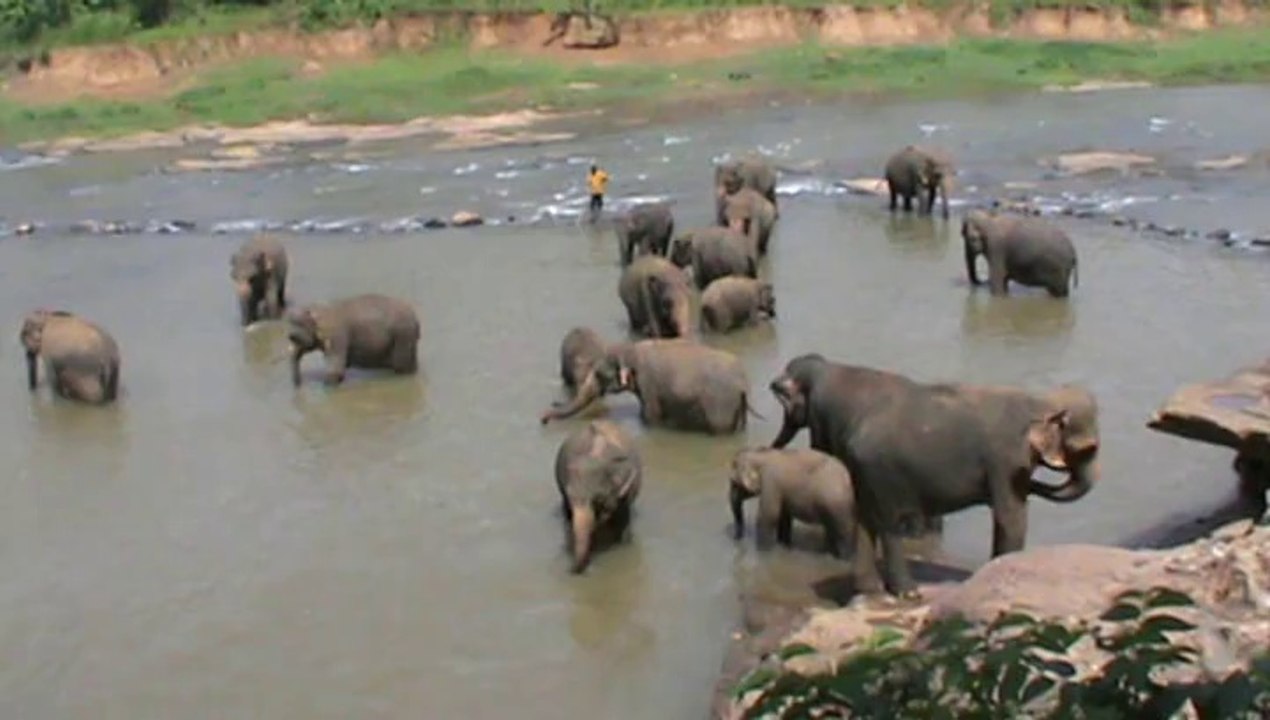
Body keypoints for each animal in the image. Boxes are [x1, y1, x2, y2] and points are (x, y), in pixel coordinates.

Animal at [287, 293, 421, 387]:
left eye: (300, 324)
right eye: (290, 322)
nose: (299, 385)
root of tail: (416, 319)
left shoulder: (337, 336)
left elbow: (336, 369)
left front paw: (327, 384)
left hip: (402, 335)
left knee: (400, 366)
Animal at [540, 339, 756, 435]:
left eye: (600, 375)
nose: (543, 419)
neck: (628, 349)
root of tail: (743, 382)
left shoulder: (649, 383)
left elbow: (650, 416)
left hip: (721, 403)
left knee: (719, 427)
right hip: (737, 405)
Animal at [555, 419, 643, 573]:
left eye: (598, 499)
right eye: (570, 497)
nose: (571, 570)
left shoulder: (625, 493)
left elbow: (624, 523)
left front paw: (623, 544)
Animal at [768, 354, 1100, 599]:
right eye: (1087, 449)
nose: (1034, 482)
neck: (1040, 401)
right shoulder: (1006, 460)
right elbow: (1010, 516)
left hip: (863, 473)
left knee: (864, 520)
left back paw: (871, 590)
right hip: (880, 474)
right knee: (888, 525)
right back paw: (908, 593)